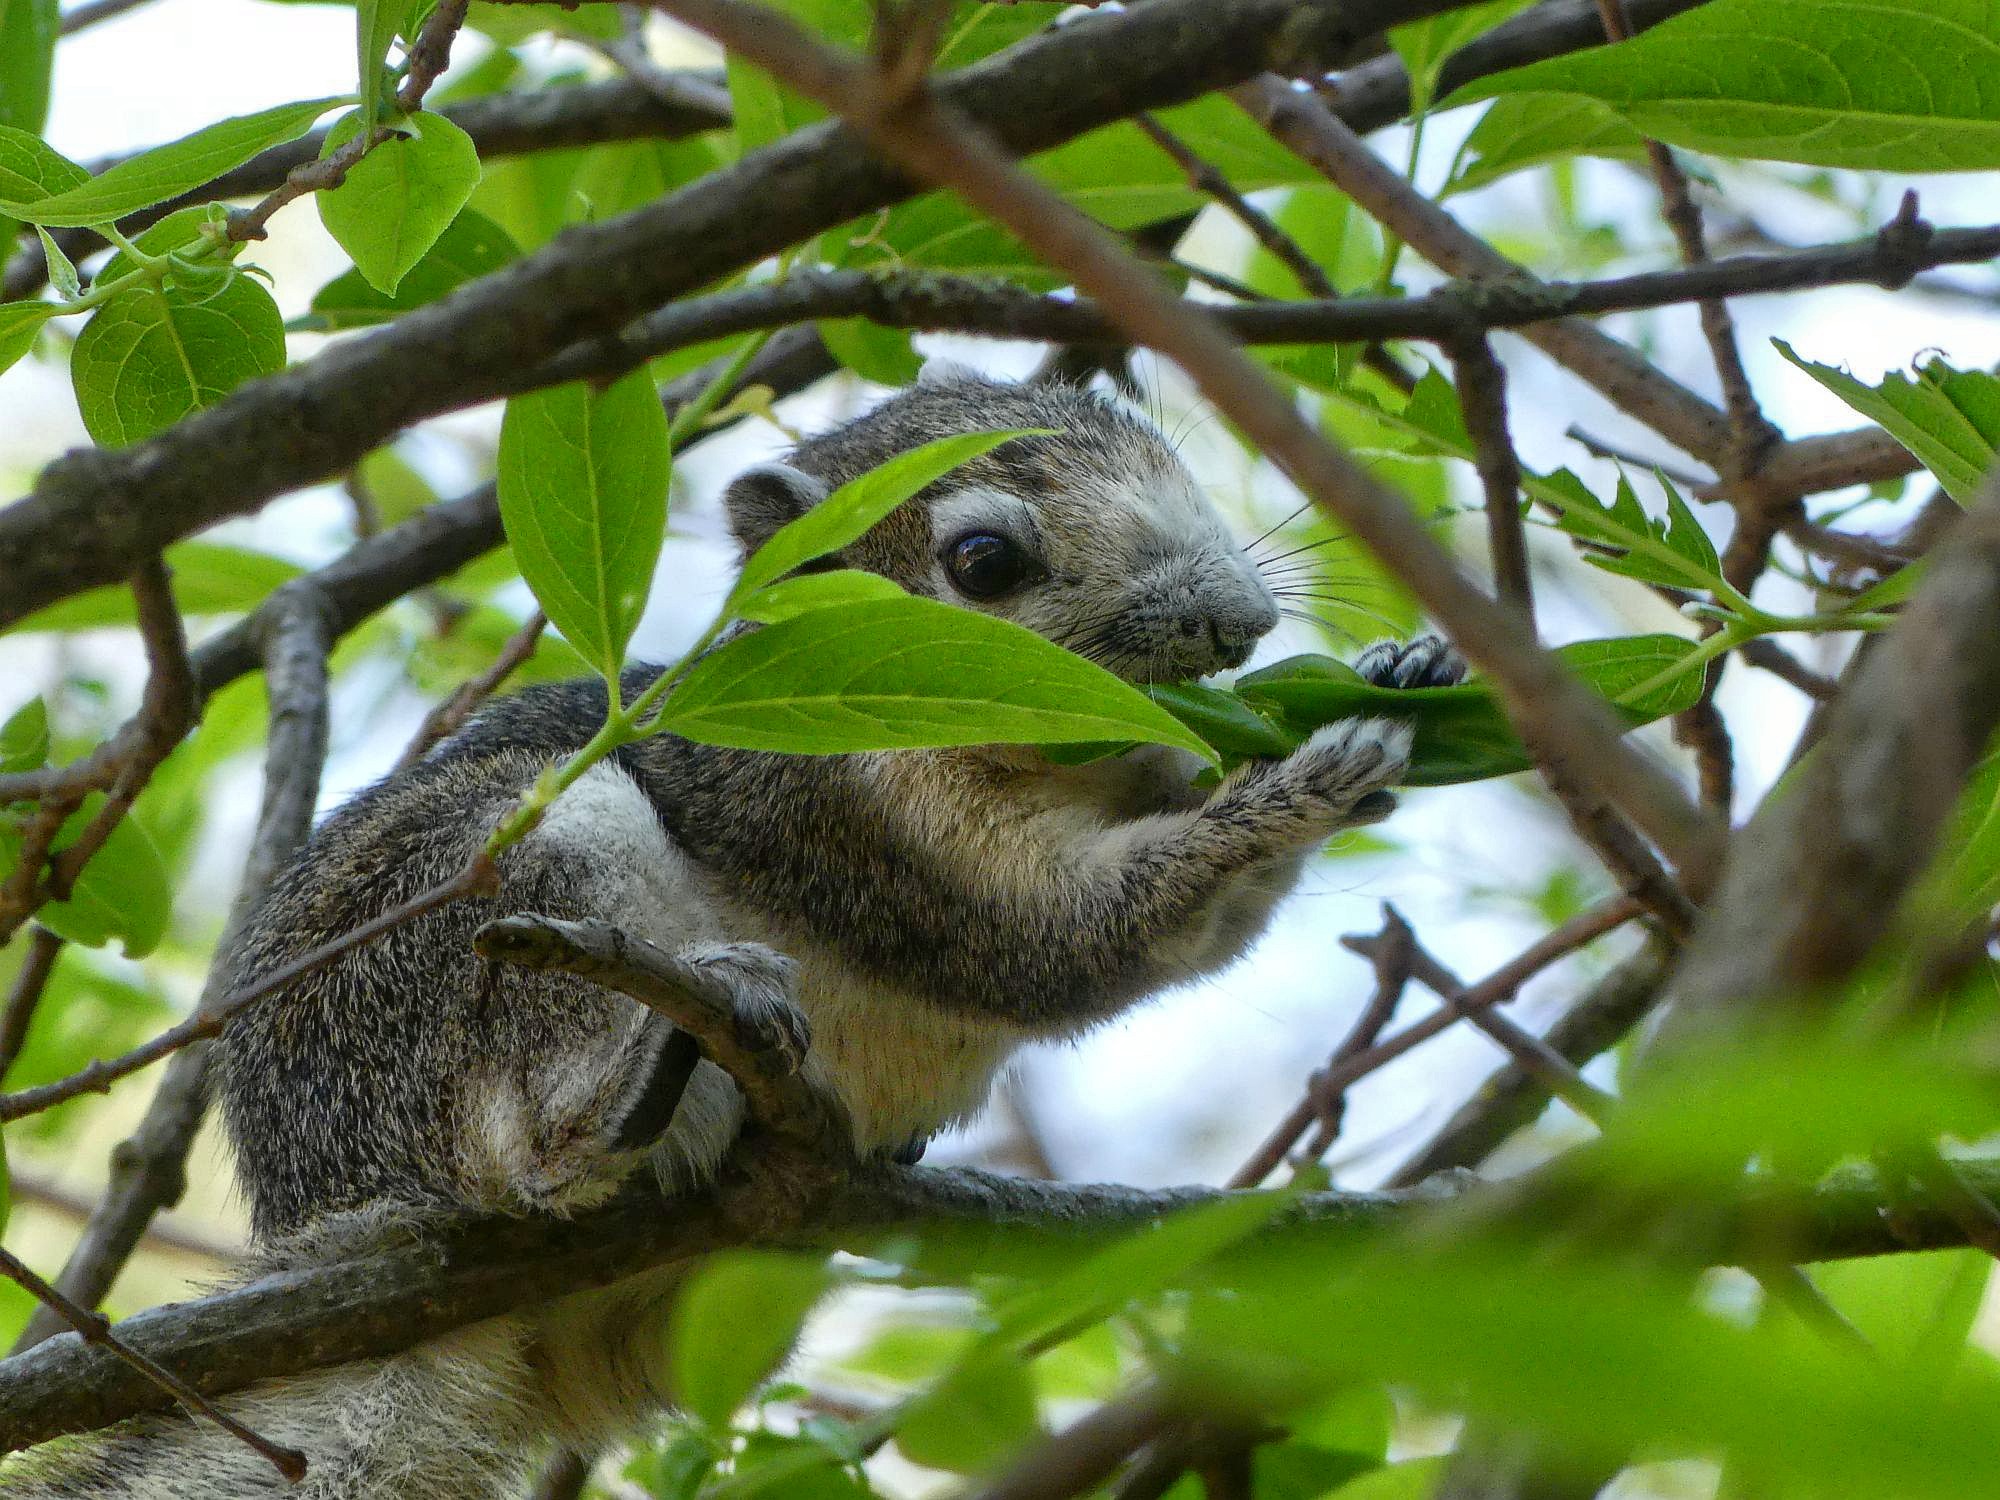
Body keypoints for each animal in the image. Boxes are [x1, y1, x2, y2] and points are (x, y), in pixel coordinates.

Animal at [3, 375, 1461, 1498]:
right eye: (984, 564)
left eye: (1170, 462)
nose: (1240, 622)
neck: (1056, 757)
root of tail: (350, 1229)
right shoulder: (847, 825)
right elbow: (1062, 940)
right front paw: (1303, 776)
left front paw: (1406, 673)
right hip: (488, 918)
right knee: (527, 1141)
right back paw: (637, 1084)